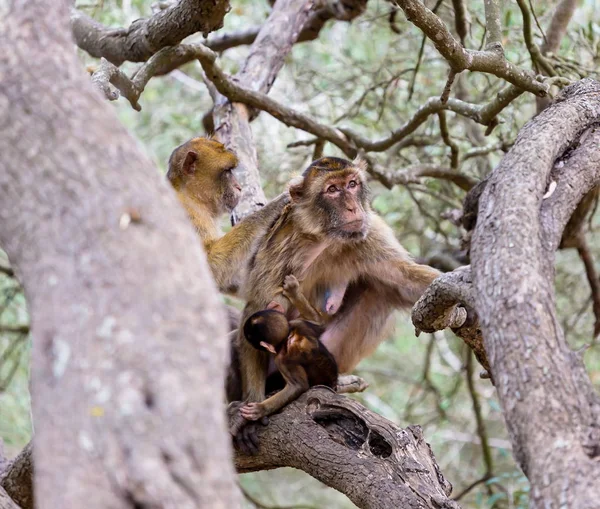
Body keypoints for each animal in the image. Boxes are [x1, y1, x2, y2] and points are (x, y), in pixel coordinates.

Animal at [166, 137, 288, 296]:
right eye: (228, 171)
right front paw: (271, 208)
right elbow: (209, 266)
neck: (193, 198)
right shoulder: (189, 215)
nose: (239, 187)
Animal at [236, 155, 440, 404]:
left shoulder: (370, 232)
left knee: (379, 292)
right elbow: (259, 307)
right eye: (332, 189)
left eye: (352, 184)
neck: (327, 238)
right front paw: (253, 399)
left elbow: (404, 278)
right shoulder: (281, 249)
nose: (353, 207)